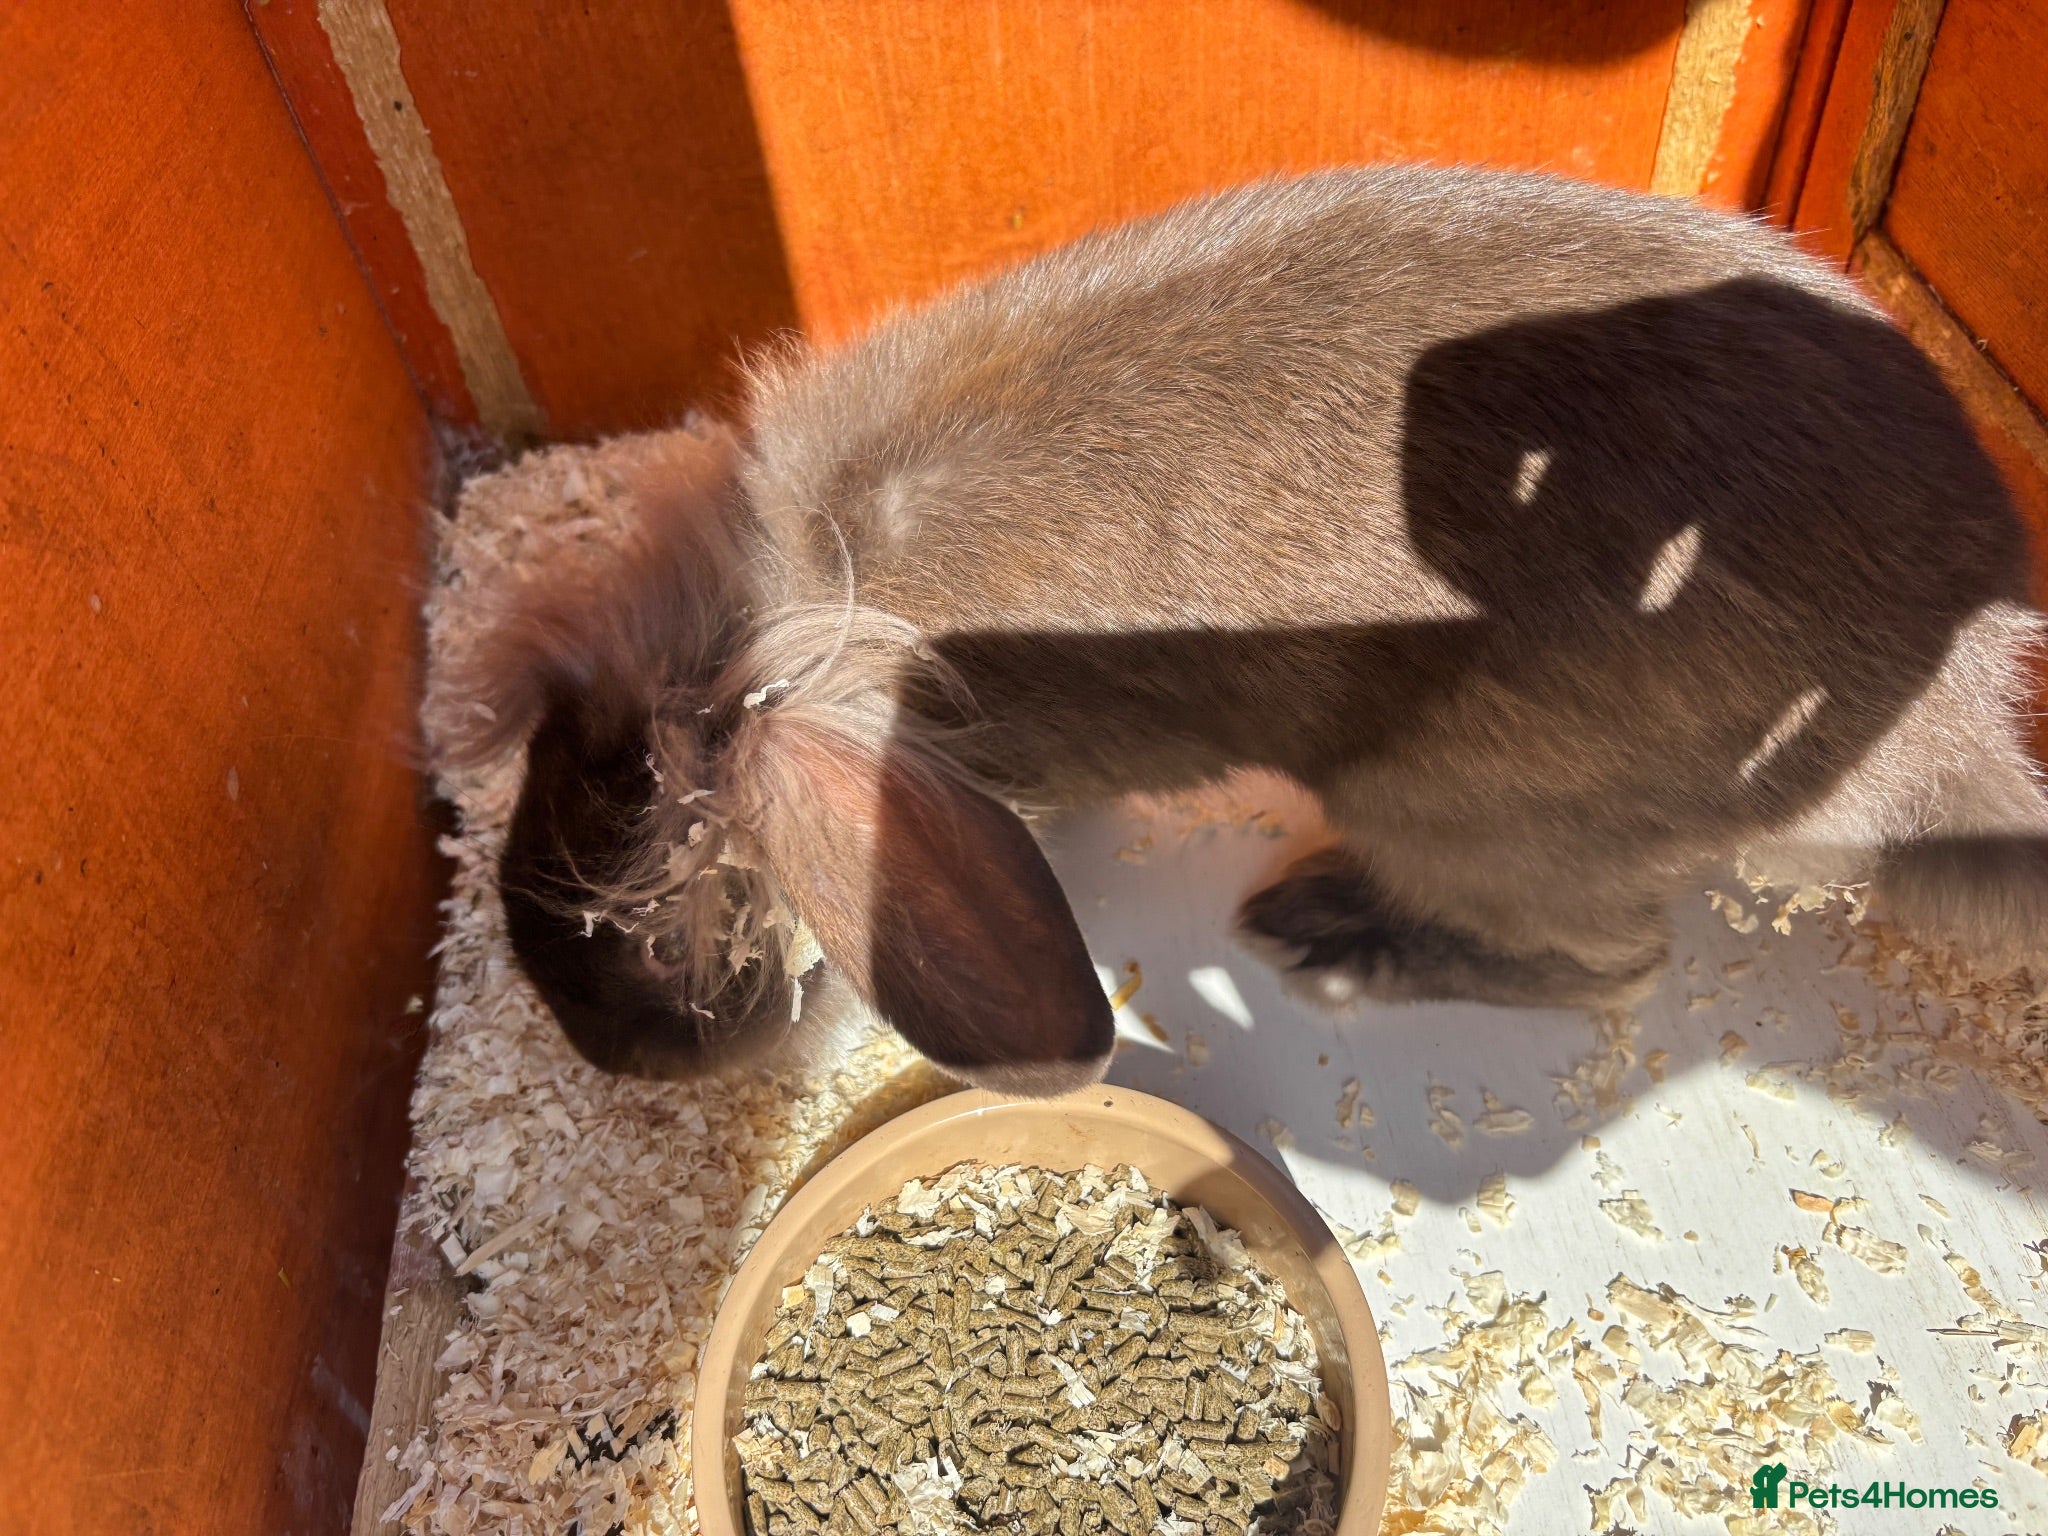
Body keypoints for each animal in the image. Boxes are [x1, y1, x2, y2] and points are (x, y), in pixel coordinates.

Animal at [442, 164, 2048, 1095]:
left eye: (663, 925)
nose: (607, 1053)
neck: (806, 579)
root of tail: (1947, 743)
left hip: (1454, 810)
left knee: (1612, 963)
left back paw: (1332, 938)